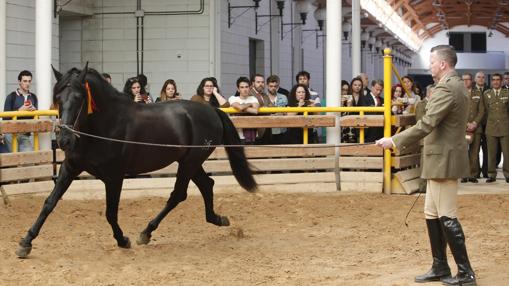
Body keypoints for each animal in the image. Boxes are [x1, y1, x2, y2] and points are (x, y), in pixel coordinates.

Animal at [15, 65, 256, 260]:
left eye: (79, 98)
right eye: (58, 98)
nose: (64, 139)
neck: (104, 125)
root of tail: (212, 110)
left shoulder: (114, 176)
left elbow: (110, 212)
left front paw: (123, 240)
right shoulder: (70, 168)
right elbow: (49, 203)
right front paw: (26, 243)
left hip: (190, 162)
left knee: (178, 194)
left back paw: (146, 232)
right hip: (190, 162)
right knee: (206, 185)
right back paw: (217, 219)